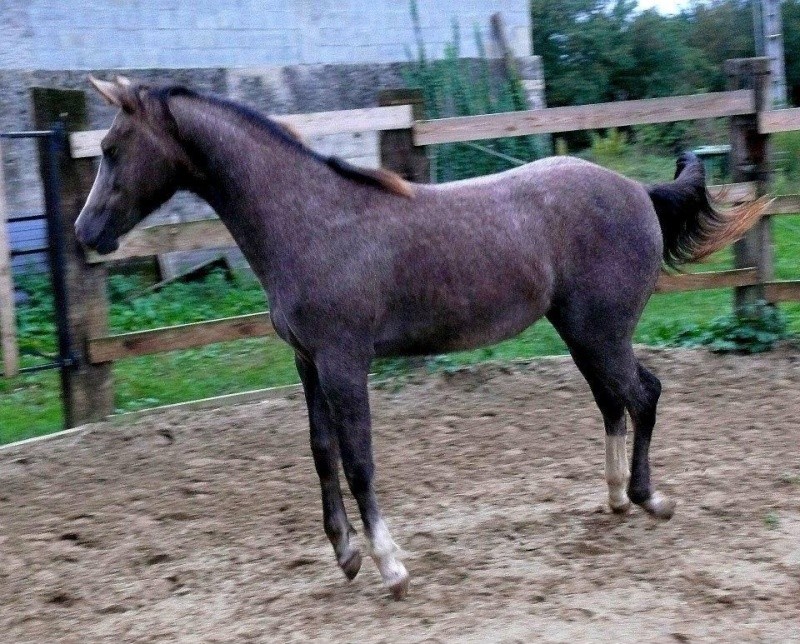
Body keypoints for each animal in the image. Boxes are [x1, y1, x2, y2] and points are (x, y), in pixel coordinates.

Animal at [75, 78, 764, 600]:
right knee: (614, 402)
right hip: (582, 333)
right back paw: (617, 498)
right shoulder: (306, 362)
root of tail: (638, 192)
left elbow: (358, 459)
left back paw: (650, 499)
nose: (86, 233)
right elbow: (322, 453)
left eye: (112, 147)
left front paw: (390, 565)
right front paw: (346, 555)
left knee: (643, 394)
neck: (312, 220)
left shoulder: (344, 361)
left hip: (601, 330)